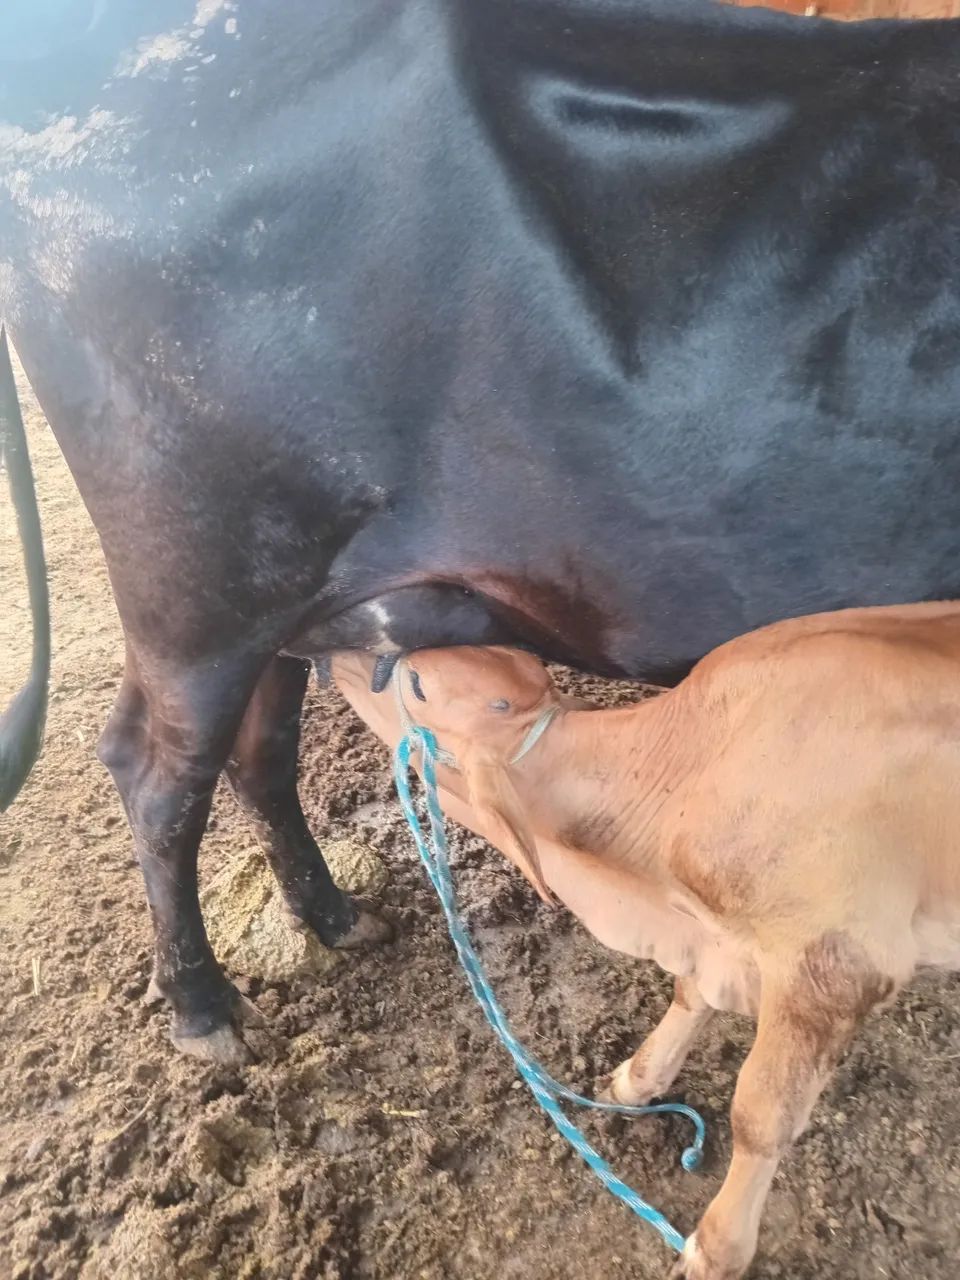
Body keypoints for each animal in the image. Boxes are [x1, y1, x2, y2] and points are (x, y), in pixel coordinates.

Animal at [1, 0, 959, 1080]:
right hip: (201, 592)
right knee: (156, 775)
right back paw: (205, 1008)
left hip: (292, 596)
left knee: (259, 752)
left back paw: (334, 915)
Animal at [332, 605, 960, 1280]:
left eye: (419, 683)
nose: (337, 652)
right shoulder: (720, 944)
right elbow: (690, 995)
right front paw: (637, 1078)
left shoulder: (835, 960)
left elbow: (760, 1117)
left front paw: (715, 1248)